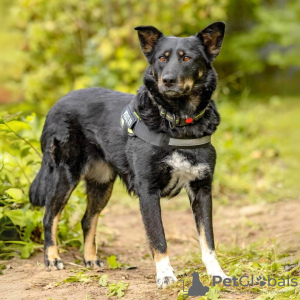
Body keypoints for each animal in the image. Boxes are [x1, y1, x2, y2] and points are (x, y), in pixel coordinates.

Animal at [29, 21, 227, 288]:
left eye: (187, 58)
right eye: (162, 58)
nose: (168, 80)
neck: (177, 121)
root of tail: (56, 104)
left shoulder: (202, 189)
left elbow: (208, 240)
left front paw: (217, 273)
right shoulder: (148, 191)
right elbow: (158, 238)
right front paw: (165, 275)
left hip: (102, 183)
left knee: (87, 219)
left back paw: (90, 259)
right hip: (64, 175)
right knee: (49, 216)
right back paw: (52, 258)